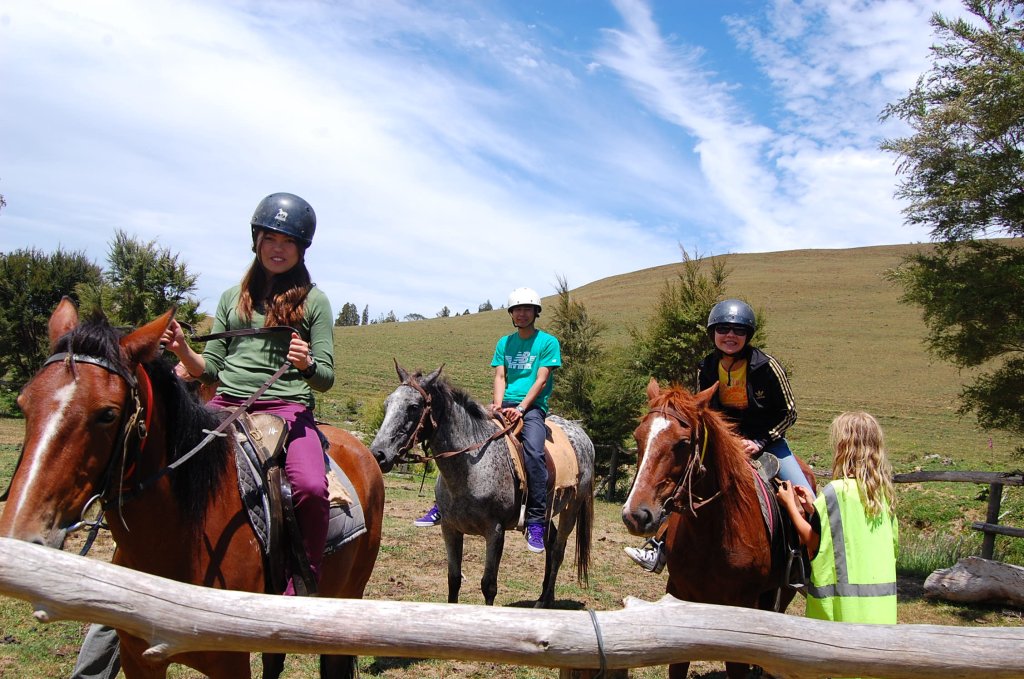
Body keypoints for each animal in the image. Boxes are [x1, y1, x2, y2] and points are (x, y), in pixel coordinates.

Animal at [0, 301, 385, 675]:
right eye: (24, 402)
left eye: (107, 414)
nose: (21, 534)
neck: (184, 534)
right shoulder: (137, 658)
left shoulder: (229, 663)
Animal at [370, 364, 598, 606]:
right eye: (387, 403)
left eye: (413, 407)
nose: (378, 454)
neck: (470, 467)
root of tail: (582, 435)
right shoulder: (449, 528)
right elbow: (454, 579)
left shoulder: (495, 531)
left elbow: (488, 585)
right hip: (545, 512)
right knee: (550, 541)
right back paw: (546, 597)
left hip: (571, 509)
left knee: (557, 551)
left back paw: (543, 601)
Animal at [618, 378, 811, 675]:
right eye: (638, 437)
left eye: (683, 443)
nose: (636, 515)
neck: (712, 534)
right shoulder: (679, 595)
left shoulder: (741, 609)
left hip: (784, 591)